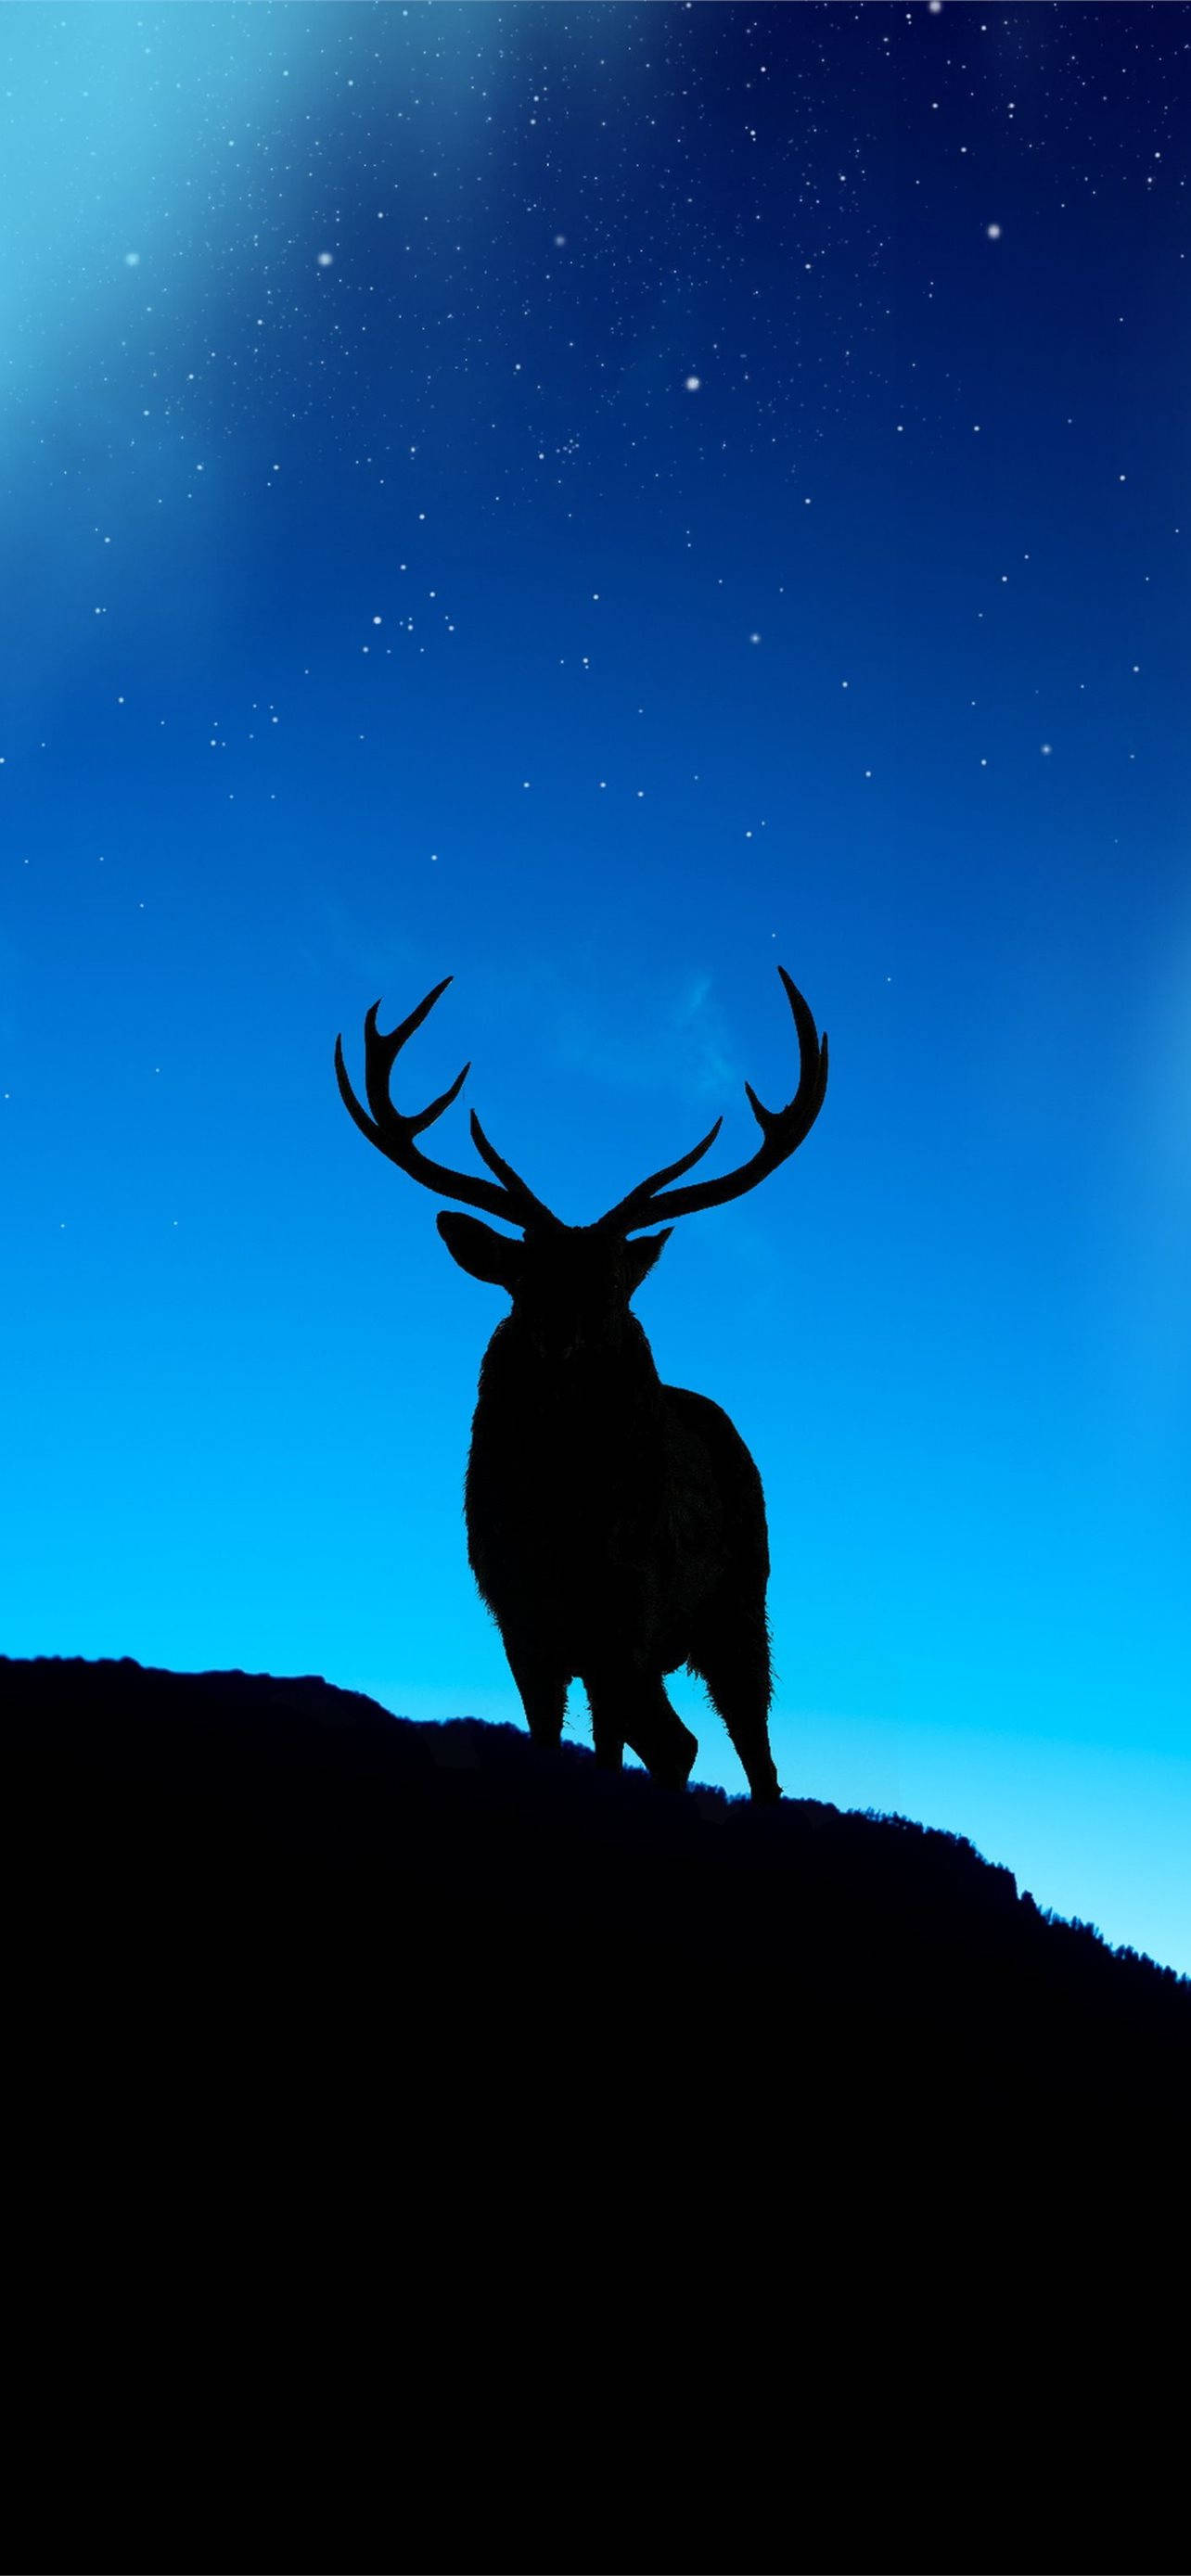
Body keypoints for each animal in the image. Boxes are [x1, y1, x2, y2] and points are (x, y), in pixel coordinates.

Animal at [335, 966, 828, 1803]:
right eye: (524, 1281)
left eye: (610, 1288)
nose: (560, 1341)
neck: (561, 1520)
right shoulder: (520, 1617)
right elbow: (551, 1738)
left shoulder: (625, 1612)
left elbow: (653, 1746)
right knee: (652, 1738)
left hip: (738, 1604)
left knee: (742, 1746)